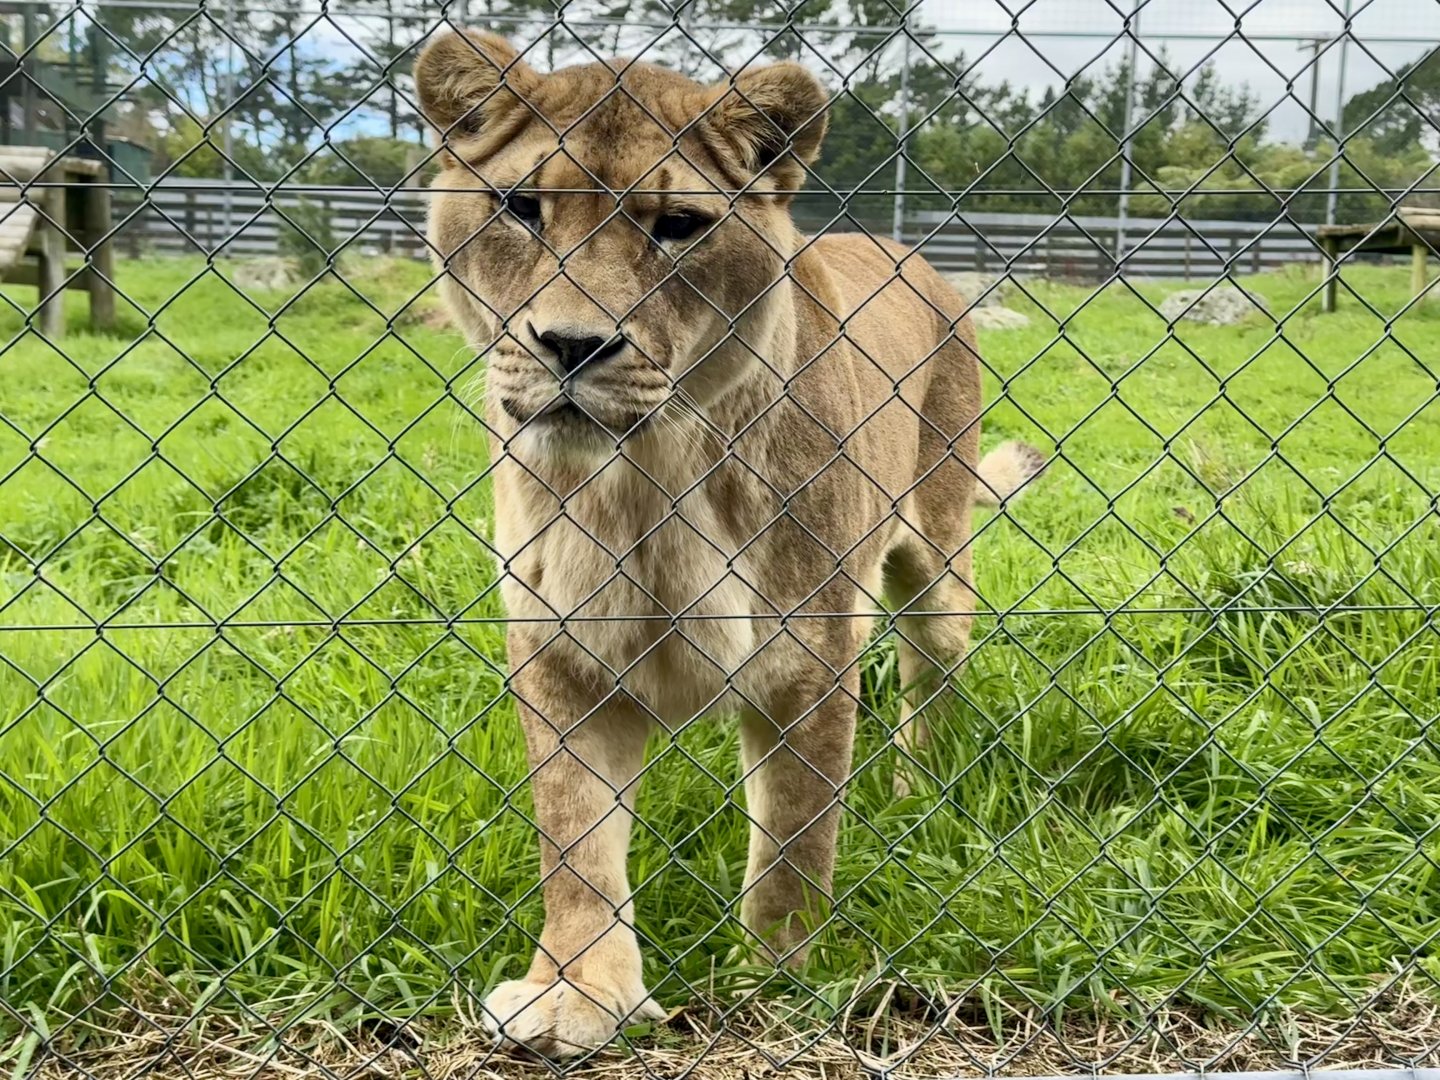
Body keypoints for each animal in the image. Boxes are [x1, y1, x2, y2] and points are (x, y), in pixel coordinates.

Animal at [414, 30, 1044, 1059]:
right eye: (521, 208)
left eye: (677, 225)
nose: (571, 346)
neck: (643, 480)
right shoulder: (560, 658)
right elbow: (575, 843)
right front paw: (576, 994)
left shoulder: (809, 660)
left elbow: (795, 841)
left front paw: (774, 987)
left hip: (936, 560)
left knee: (932, 677)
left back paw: (915, 796)